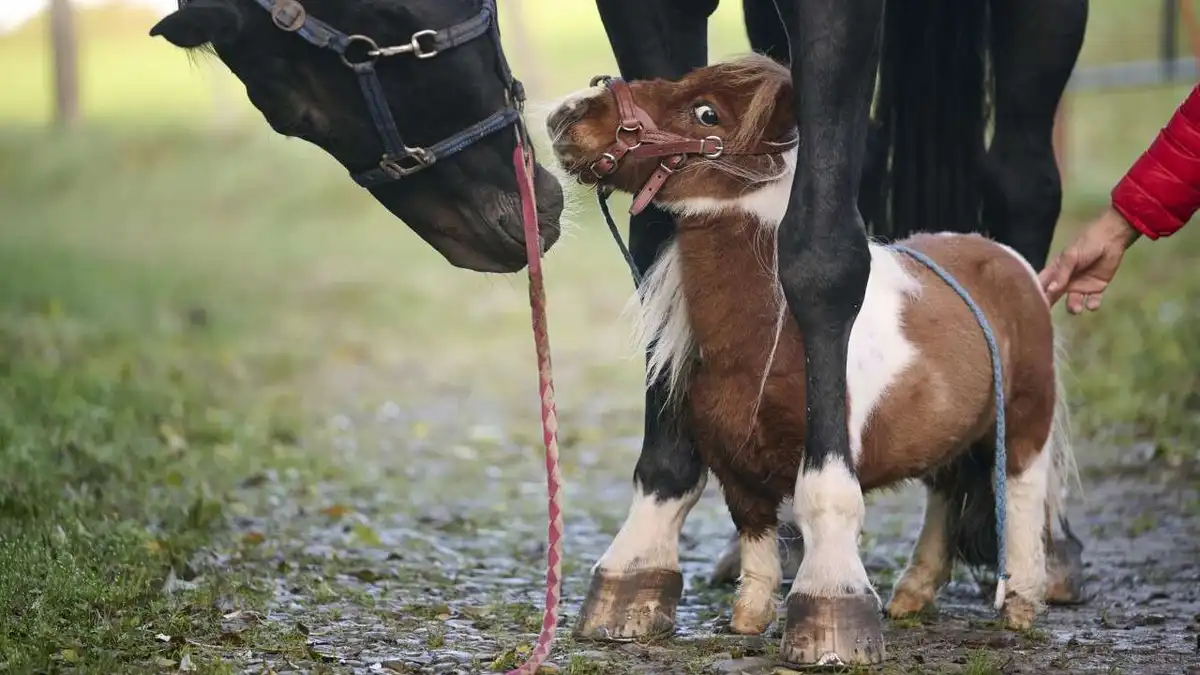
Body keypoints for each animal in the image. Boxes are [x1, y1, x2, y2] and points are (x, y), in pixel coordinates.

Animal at [579, 0, 1089, 662]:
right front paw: (721, 608)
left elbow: (823, 253)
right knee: (948, 486)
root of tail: (1008, 262)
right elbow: (756, 542)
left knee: (1021, 482)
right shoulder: (740, 476)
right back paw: (913, 592)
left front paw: (831, 607)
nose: (569, 116)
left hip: (1025, 412)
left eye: (707, 113)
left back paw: (1027, 593)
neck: (763, 344)